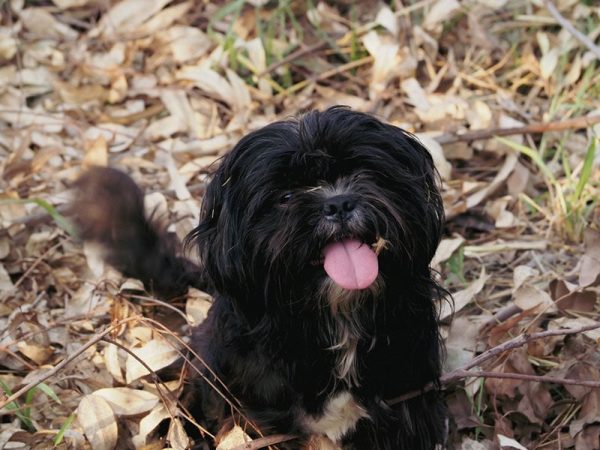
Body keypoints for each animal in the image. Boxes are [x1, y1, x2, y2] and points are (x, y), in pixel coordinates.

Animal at [74, 107, 446, 448]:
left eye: (363, 173)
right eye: (285, 197)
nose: (338, 203)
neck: (334, 317)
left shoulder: (406, 400)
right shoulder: (261, 420)